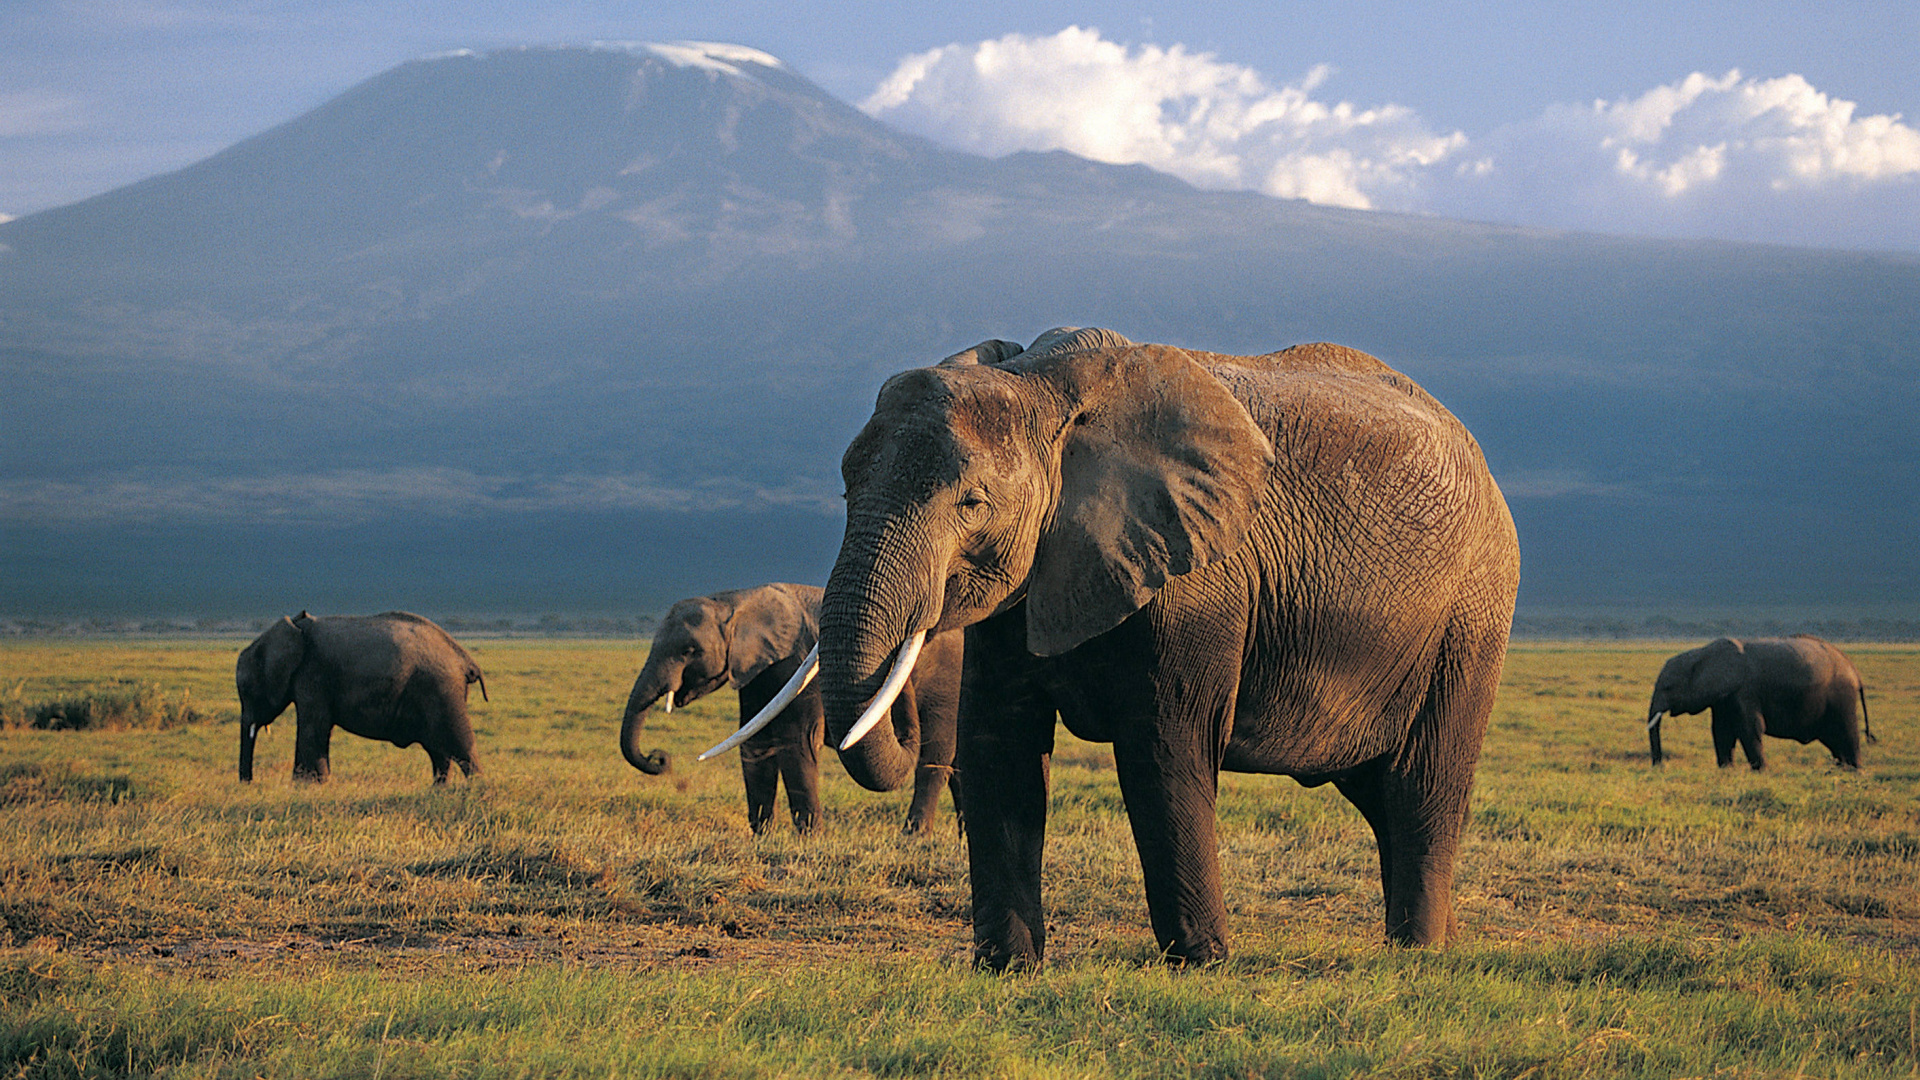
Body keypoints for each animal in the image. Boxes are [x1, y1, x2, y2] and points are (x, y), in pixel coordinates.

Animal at [236, 611, 487, 783]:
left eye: (247, 690)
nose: (249, 782)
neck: (295, 627)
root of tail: (465, 658)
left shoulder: (312, 675)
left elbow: (312, 725)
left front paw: (306, 785)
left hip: (441, 691)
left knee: (460, 746)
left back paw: (476, 789)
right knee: (438, 751)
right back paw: (438, 791)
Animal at [617, 582, 964, 835]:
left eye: (689, 650)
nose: (659, 758)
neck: (734, 602)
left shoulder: (797, 666)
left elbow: (797, 742)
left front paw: (811, 838)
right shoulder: (756, 671)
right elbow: (755, 743)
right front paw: (762, 836)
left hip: (947, 682)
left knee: (934, 757)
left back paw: (914, 836)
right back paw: (962, 838)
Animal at [781, 327, 1519, 968]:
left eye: (971, 503)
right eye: (845, 488)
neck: (1042, 388)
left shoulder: (1198, 579)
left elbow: (1165, 749)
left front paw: (1202, 964)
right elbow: (1000, 746)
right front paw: (1007, 968)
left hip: (1471, 616)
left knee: (1421, 788)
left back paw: (1418, 954)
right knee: (1379, 796)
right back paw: (1427, 945)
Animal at [1645, 635, 1875, 769]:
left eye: (1668, 687)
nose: (1659, 766)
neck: (1701, 653)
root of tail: (1853, 669)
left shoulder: (1744, 691)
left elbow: (1749, 728)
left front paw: (1760, 771)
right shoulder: (1723, 698)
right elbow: (1721, 731)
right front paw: (1726, 770)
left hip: (1842, 698)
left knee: (1846, 734)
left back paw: (1854, 771)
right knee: (1835, 741)